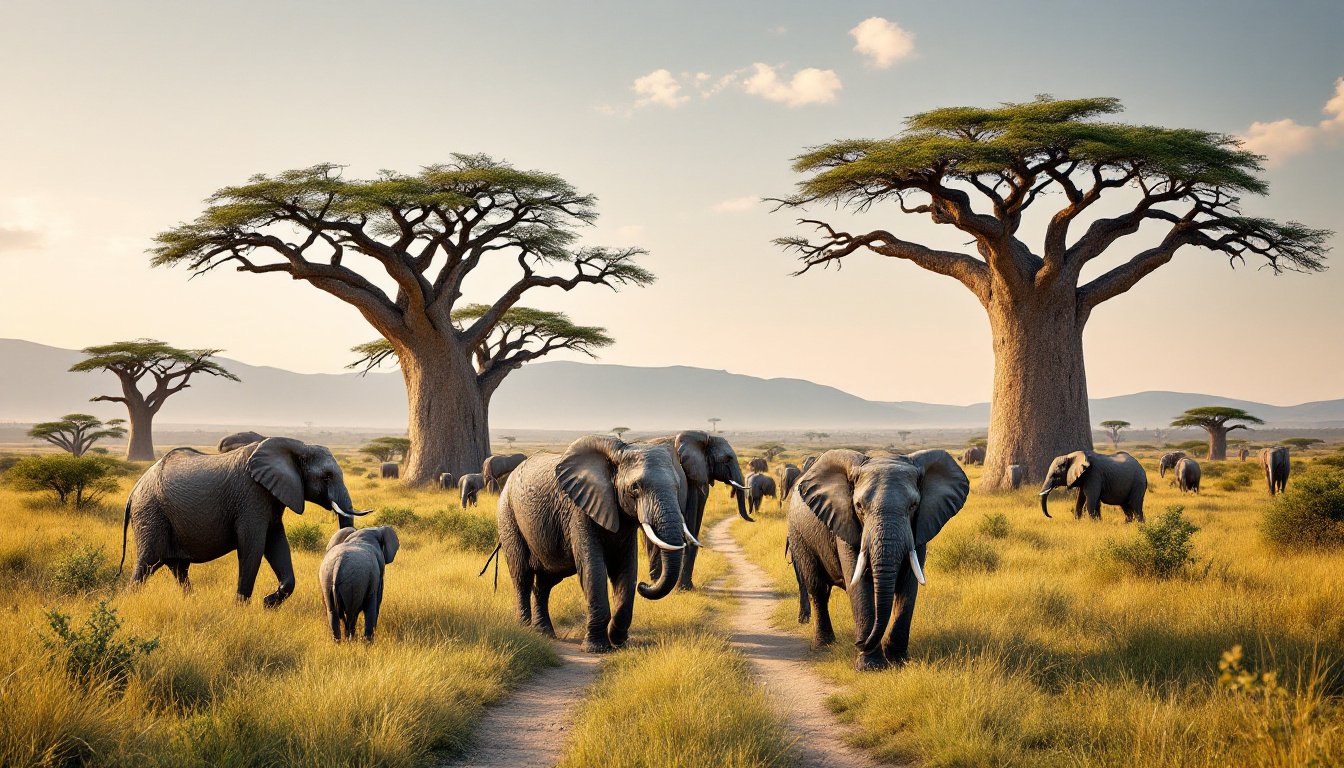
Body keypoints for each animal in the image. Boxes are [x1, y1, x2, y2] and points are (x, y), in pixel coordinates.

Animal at [119, 435, 368, 605]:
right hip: (150, 513)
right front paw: (241, 608)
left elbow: (277, 543)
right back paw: (130, 602)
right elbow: (252, 545)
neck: (297, 445)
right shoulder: (251, 495)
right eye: (327, 476)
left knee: (178, 568)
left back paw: (190, 600)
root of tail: (134, 490)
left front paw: (268, 603)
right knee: (146, 565)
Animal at [499, 438, 698, 656]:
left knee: (545, 581)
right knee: (522, 575)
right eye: (635, 488)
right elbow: (593, 569)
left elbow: (625, 568)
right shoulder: (578, 510)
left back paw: (545, 633)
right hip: (508, 516)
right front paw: (596, 648)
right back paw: (526, 630)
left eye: (678, 488)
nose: (644, 585)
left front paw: (618, 641)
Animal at [642, 433, 752, 589]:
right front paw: (684, 588)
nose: (752, 518)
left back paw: (654, 580)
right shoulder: (692, 478)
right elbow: (692, 519)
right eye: (727, 459)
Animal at [784, 446, 967, 669]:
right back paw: (823, 647)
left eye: (914, 505)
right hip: (799, 535)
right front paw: (870, 666)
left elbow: (909, 584)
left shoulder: (920, 527)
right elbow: (859, 583)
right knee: (817, 588)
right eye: (859, 506)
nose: (858, 642)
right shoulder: (846, 522)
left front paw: (897, 661)